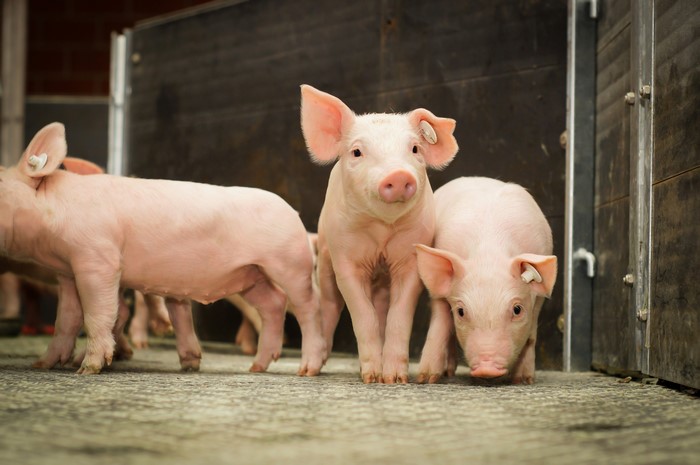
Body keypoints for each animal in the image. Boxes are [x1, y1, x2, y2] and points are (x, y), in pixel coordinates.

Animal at [0, 122, 326, 375]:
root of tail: (294, 214)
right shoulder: (67, 273)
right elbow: (65, 320)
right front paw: (42, 364)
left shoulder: (98, 260)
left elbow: (98, 314)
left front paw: (87, 369)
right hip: (252, 276)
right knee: (273, 304)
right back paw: (257, 367)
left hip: (290, 264)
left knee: (308, 306)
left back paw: (306, 369)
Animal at [300, 85, 459, 383]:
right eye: (357, 152)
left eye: (415, 148)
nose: (398, 175)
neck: (382, 231)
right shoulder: (345, 261)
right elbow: (363, 315)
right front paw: (371, 377)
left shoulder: (410, 260)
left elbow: (399, 317)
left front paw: (395, 379)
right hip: (325, 259)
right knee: (329, 307)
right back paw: (309, 370)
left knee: (383, 309)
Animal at [414, 177, 557, 384]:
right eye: (461, 312)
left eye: (517, 309)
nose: (486, 368)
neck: (489, 254)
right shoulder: (438, 296)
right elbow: (440, 327)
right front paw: (426, 379)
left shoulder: (538, 300)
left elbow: (531, 337)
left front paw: (523, 380)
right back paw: (448, 373)